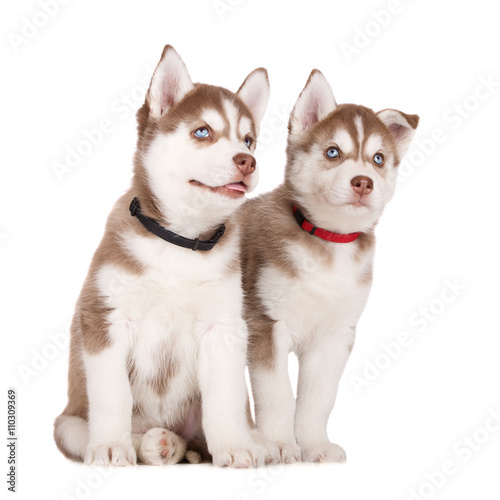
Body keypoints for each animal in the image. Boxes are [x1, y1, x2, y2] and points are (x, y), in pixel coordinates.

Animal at [53, 46, 274, 468]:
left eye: (249, 140)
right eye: (202, 132)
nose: (248, 160)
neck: (180, 242)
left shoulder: (222, 327)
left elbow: (225, 397)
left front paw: (235, 447)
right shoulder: (104, 317)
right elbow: (113, 395)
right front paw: (111, 446)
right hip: (68, 423)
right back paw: (151, 443)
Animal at [240, 69, 420, 460]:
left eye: (378, 159)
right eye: (333, 152)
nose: (363, 182)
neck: (328, 242)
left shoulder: (335, 337)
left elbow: (318, 398)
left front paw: (313, 445)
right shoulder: (266, 324)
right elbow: (276, 394)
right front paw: (281, 445)